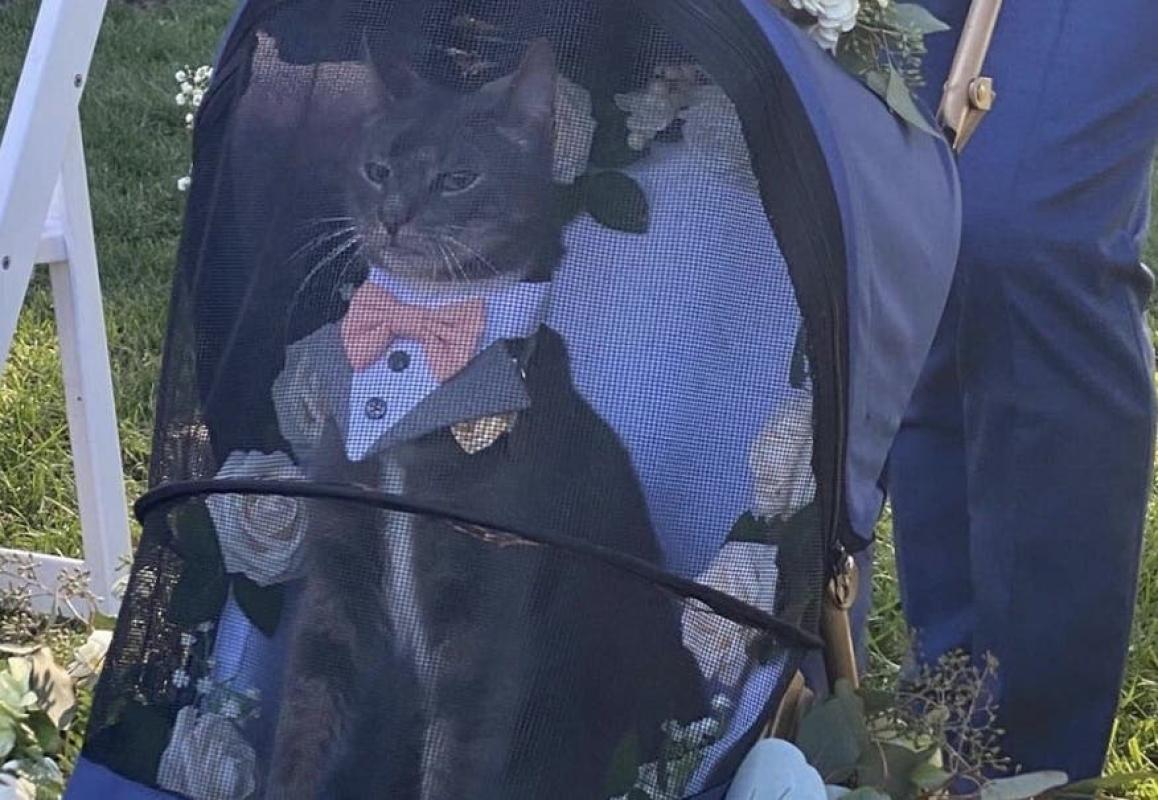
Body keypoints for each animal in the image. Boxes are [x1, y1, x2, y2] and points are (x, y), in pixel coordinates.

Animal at [267, 39, 707, 799]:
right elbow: (309, 703)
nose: (393, 215)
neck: (417, 338)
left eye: (457, 178)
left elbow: (460, 749)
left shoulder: (486, 611)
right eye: (377, 168)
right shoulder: (340, 567)